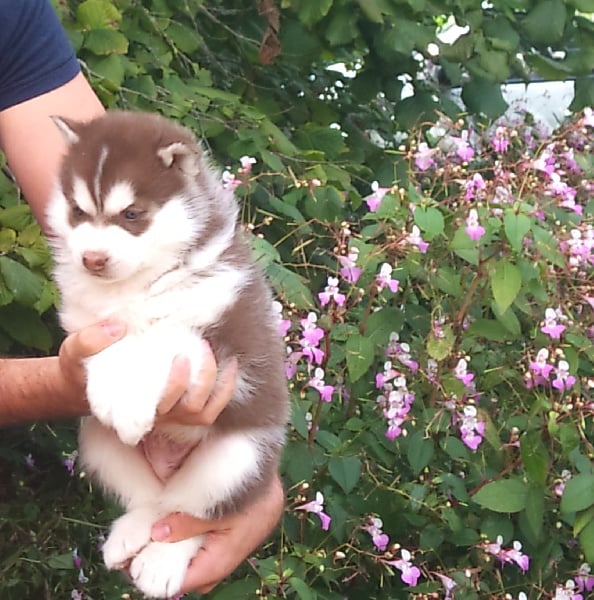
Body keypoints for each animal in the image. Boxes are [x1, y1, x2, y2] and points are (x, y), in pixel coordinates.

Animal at [46, 111, 290, 600]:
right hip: (96, 440)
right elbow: (112, 340)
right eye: (78, 211)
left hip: (239, 459)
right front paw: (113, 386)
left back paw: (162, 560)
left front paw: (131, 397)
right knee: (152, 502)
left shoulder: (230, 350)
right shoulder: (84, 323)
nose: (92, 259)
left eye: (131, 214)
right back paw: (130, 534)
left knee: (188, 514)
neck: (138, 283)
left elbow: (164, 339)